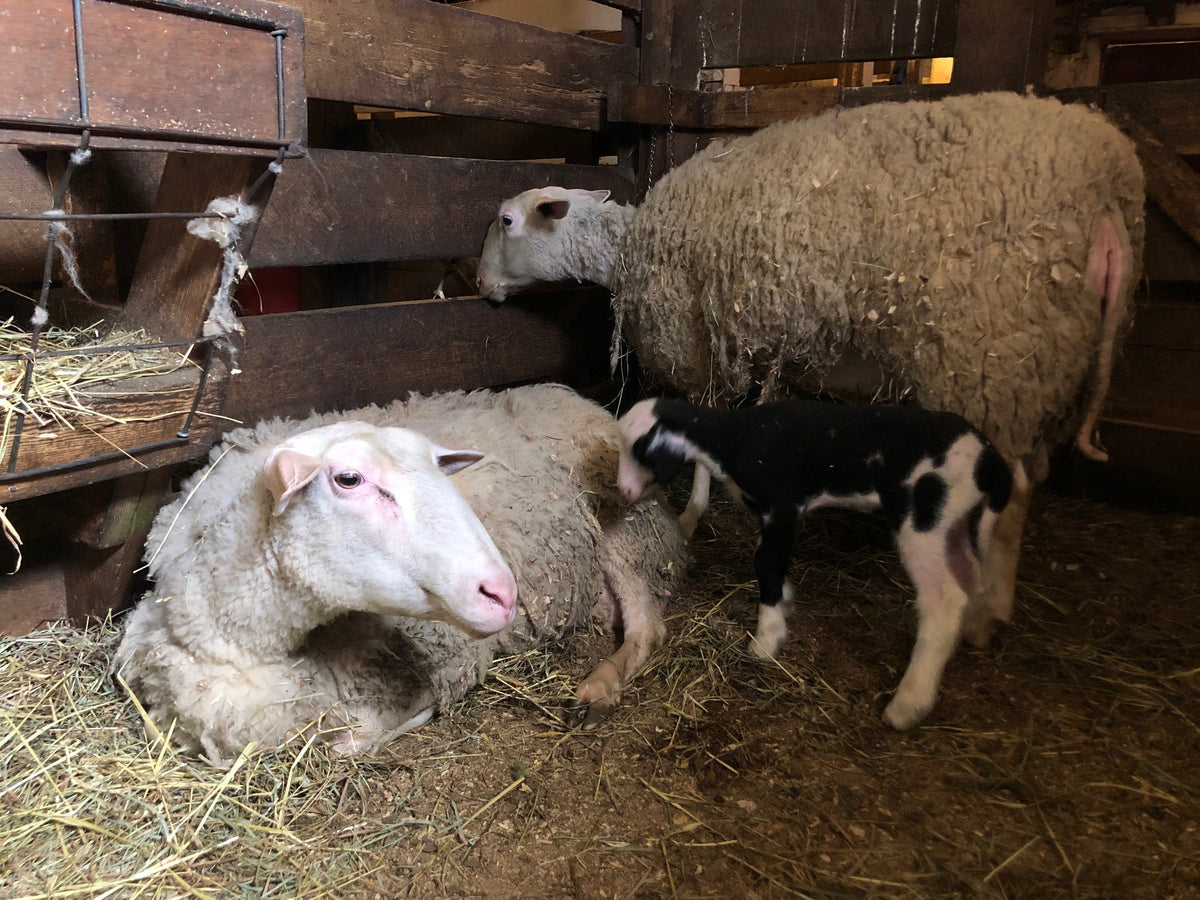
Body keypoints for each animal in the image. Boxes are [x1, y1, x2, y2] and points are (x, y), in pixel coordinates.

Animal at [112, 384, 686, 766]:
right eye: (349, 479)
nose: (504, 593)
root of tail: (581, 399)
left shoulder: (447, 663)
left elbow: (352, 742)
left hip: (629, 529)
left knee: (648, 628)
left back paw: (598, 689)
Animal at [475, 91, 1144, 648]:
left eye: (506, 221)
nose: (479, 286)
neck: (630, 247)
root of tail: (1113, 189)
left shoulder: (698, 347)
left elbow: (699, 450)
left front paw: (691, 516)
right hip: (1041, 361)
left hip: (991, 354)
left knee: (1012, 490)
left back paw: (983, 614)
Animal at [617, 396, 1014, 730]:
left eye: (640, 450)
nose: (623, 491)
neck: (733, 438)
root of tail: (990, 462)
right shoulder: (772, 516)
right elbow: (770, 559)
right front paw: (784, 603)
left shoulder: (783, 505)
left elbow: (766, 563)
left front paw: (767, 640)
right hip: (954, 522)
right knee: (970, 578)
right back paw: (969, 634)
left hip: (925, 519)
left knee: (945, 600)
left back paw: (908, 703)